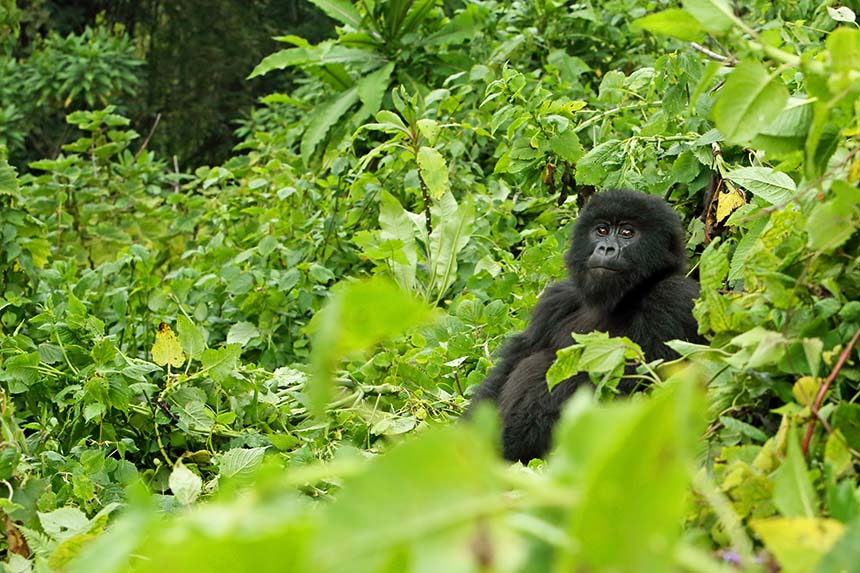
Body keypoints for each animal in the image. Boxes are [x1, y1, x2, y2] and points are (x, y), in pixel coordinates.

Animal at [474, 188, 704, 460]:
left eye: (627, 233)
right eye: (601, 230)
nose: (606, 248)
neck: (624, 298)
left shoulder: (673, 298)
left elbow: (637, 391)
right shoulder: (556, 300)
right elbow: (507, 368)